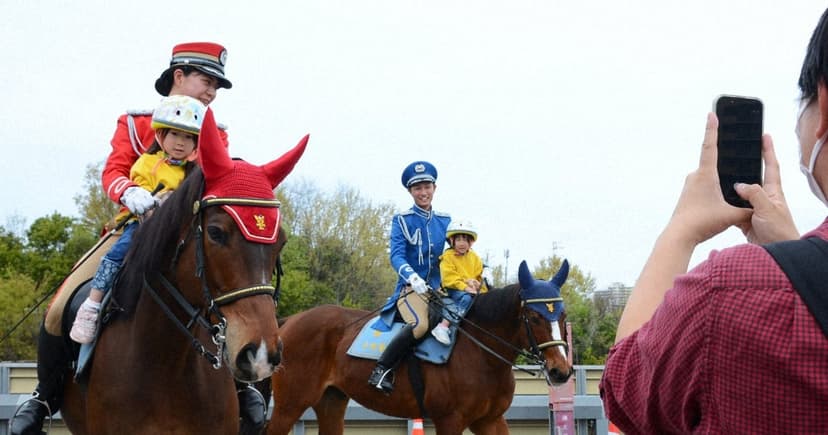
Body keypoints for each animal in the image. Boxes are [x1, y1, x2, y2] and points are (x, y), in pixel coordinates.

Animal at [267, 259, 573, 435]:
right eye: (534, 317)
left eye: (563, 315)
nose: (561, 371)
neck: (482, 354)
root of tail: (290, 321)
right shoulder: (450, 421)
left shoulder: (491, 421)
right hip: (290, 405)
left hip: (331, 401)